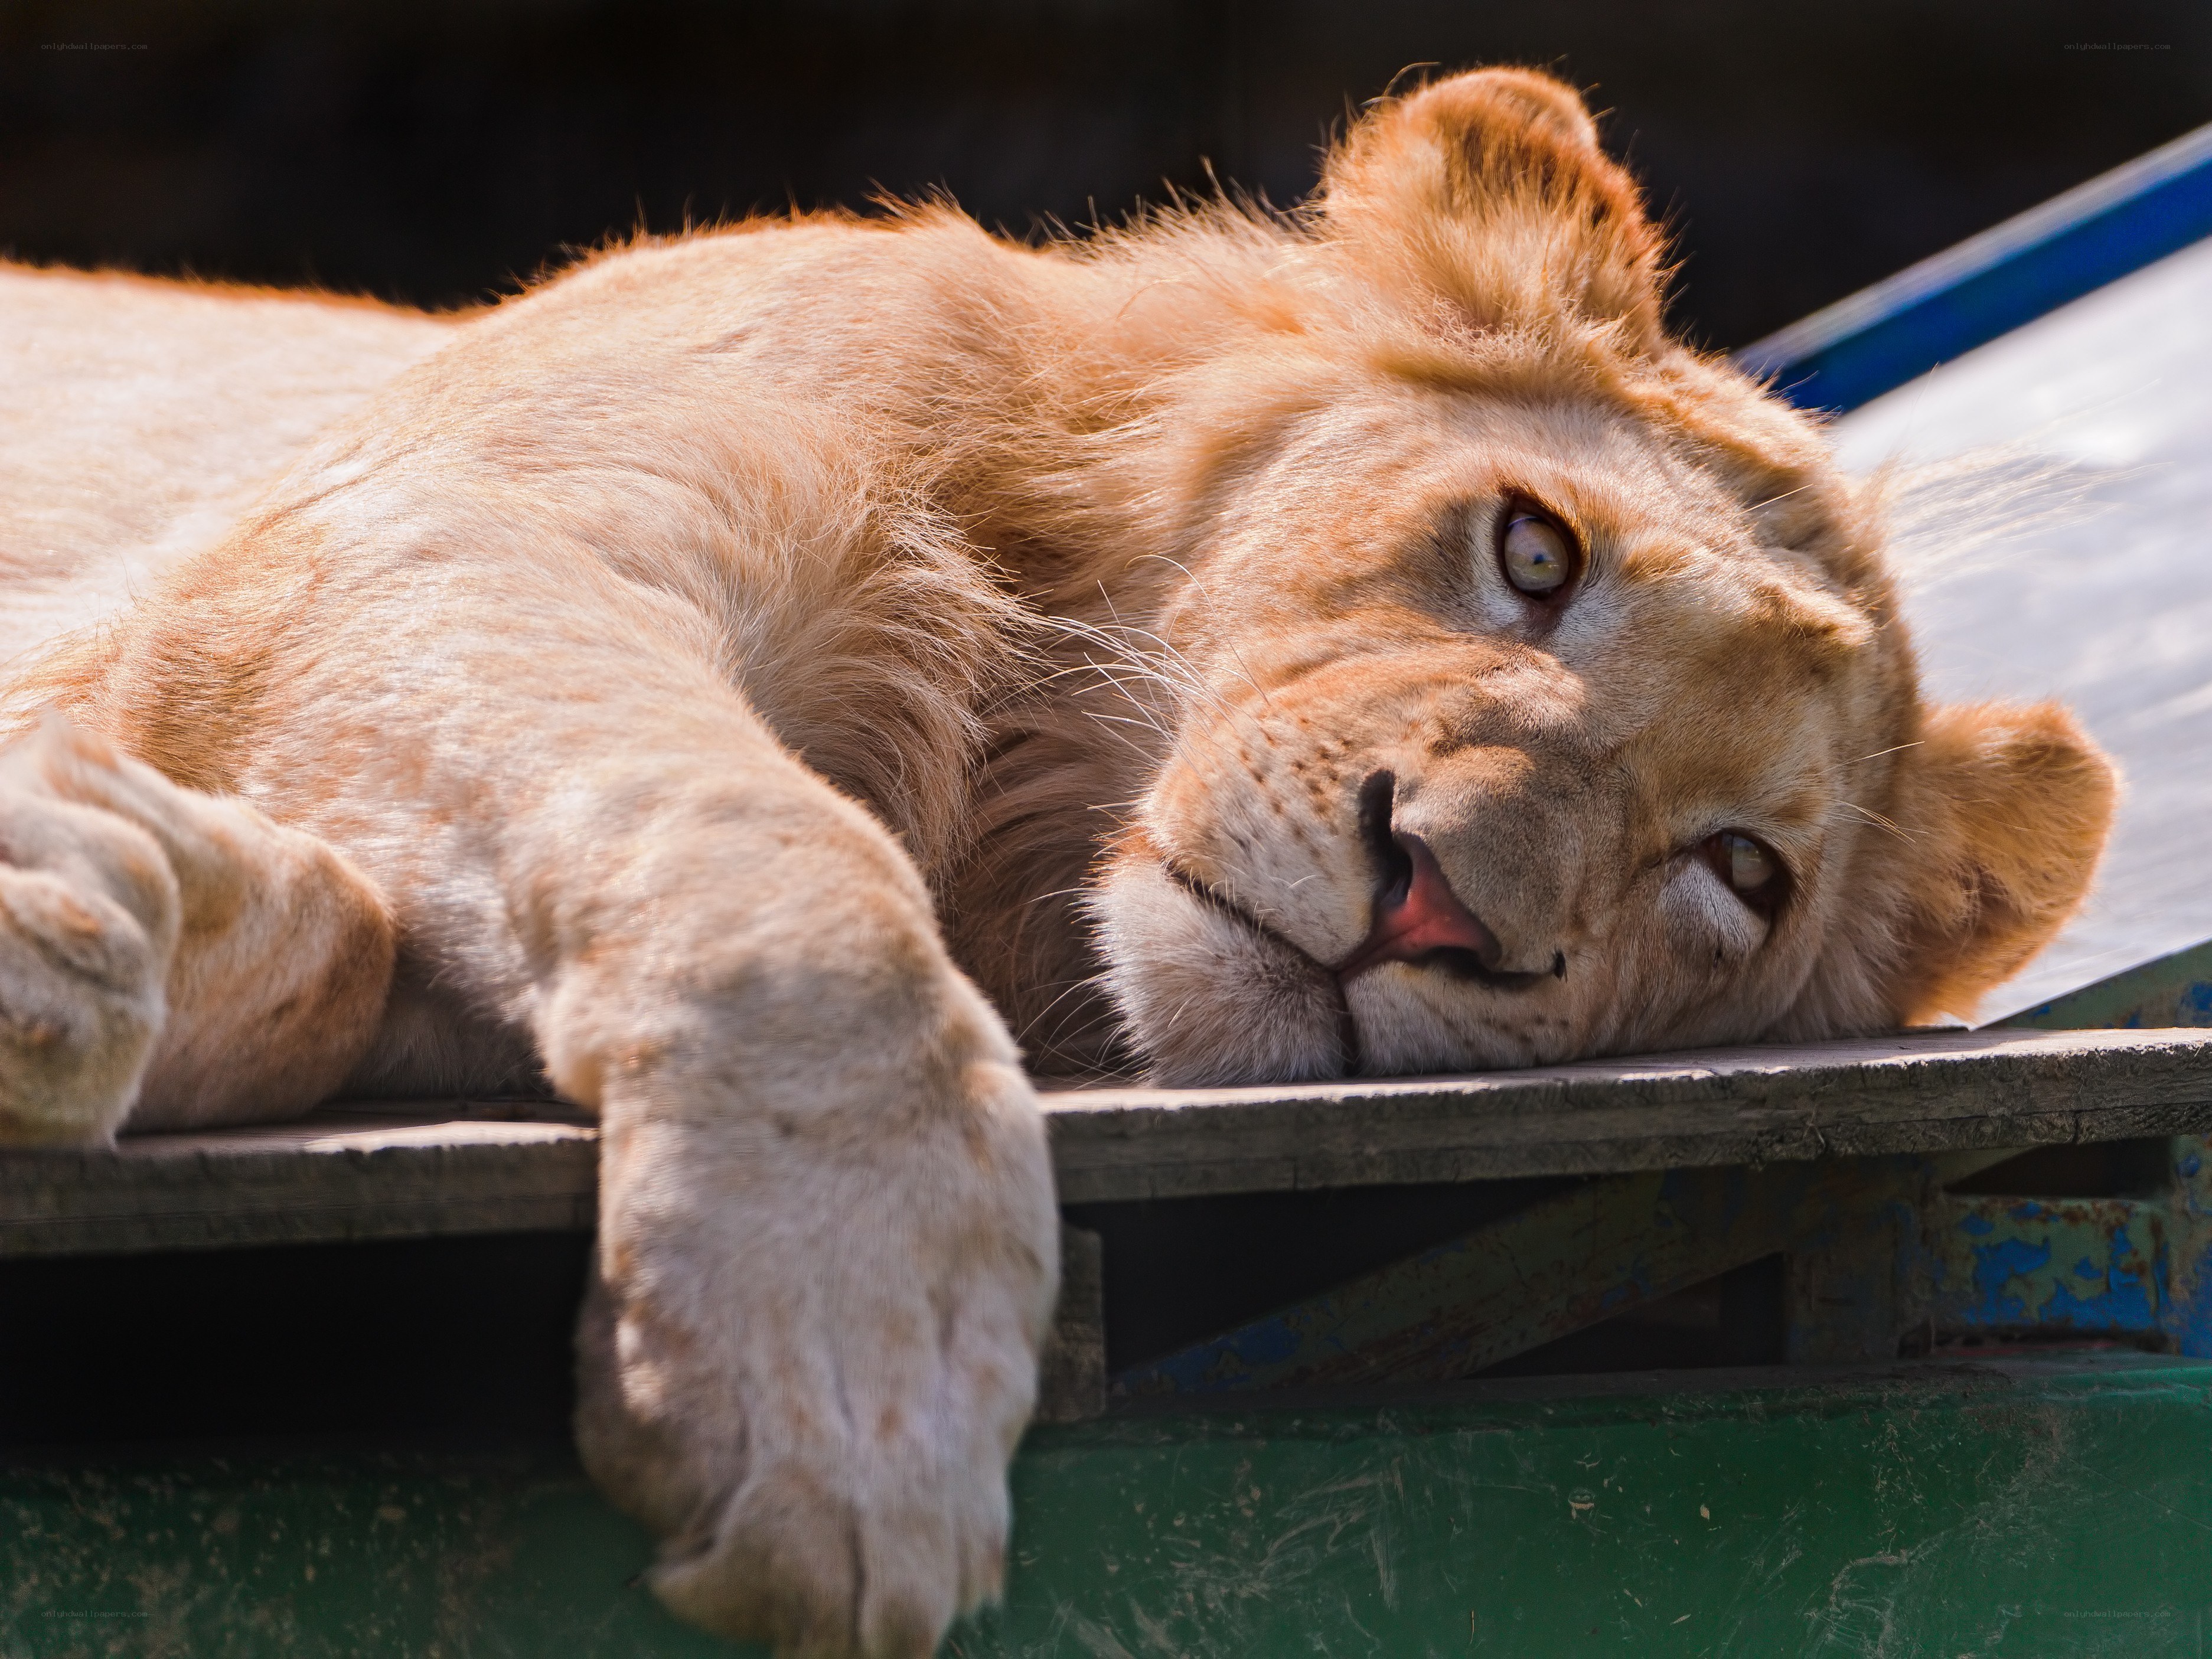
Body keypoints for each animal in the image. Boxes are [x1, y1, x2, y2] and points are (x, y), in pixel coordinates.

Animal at [0, 68, 2112, 1657]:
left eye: (1741, 873)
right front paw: (850, 1366)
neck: (1003, 777)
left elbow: (354, 933)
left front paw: (98, 914)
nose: (1438, 896)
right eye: (1533, 553)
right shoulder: (435, 527)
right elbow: (773, 869)